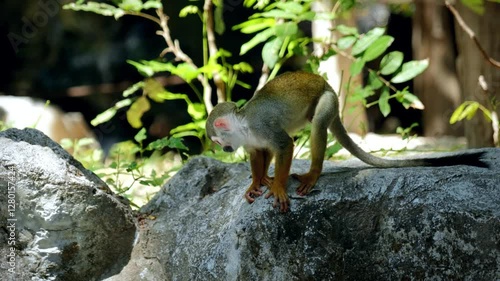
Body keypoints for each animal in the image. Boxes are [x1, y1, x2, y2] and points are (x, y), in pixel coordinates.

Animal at [205, 71, 486, 211]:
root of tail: (328, 85)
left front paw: (277, 187)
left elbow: (284, 145)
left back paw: (313, 173)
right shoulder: (250, 138)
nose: (225, 149)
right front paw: (258, 181)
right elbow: (259, 152)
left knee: (318, 124)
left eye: (217, 142)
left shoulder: (261, 124)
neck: (244, 124)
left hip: (329, 98)